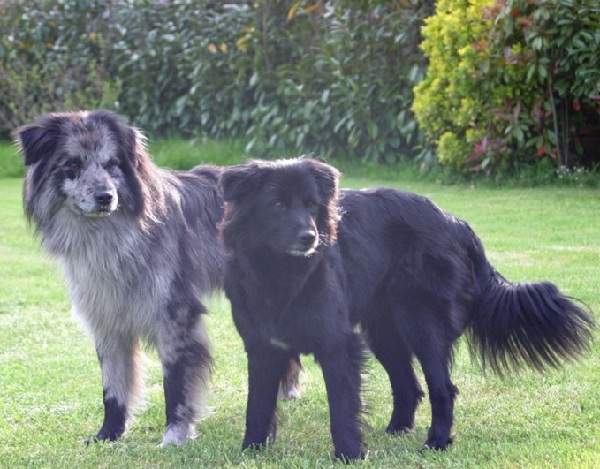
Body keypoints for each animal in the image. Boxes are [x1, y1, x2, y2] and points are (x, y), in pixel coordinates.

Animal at [219, 156, 592, 458]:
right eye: (277, 204)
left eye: (311, 205)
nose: (309, 237)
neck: (280, 273)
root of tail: (454, 222)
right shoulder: (263, 346)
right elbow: (257, 405)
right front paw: (251, 451)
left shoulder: (338, 344)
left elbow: (342, 408)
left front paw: (349, 455)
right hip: (385, 330)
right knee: (409, 386)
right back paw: (397, 430)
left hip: (422, 323)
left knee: (442, 389)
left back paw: (436, 442)